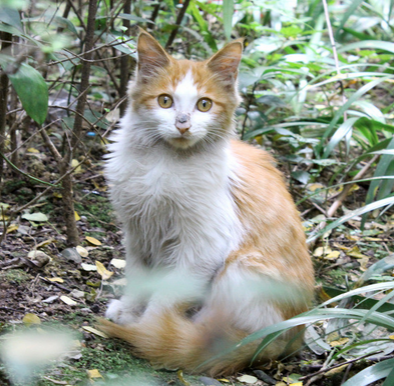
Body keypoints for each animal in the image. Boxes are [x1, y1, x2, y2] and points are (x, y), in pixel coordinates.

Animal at [99, 30, 314, 376]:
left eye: (204, 104)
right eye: (165, 100)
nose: (183, 123)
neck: (164, 163)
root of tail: (294, 334)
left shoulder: (203, 245)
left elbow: (166, 296)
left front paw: (148, 330)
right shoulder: (138, 232)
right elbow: (140, 279)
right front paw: (131, 312)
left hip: (240, 269)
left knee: (217, 336)